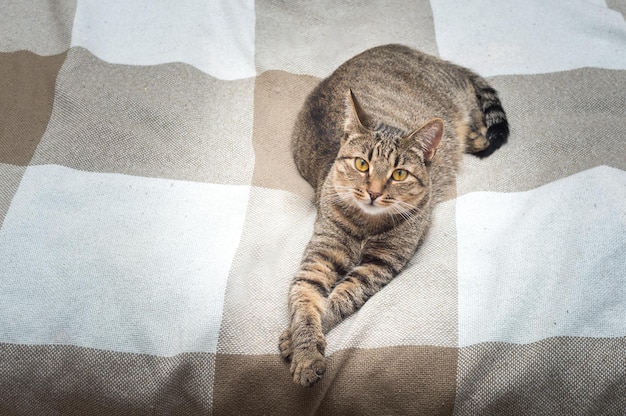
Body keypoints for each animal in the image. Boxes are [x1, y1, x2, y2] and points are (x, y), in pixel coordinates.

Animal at [278, 44, 508, 386]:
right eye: (362, 165)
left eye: (399, 174)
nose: (373, 191)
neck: (366, 223)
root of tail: (424, 54)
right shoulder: (321, 255)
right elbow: (305, 300)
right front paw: (304, 349)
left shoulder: (379, 265)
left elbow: (338, 301)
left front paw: (293, 342)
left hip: (460, 104)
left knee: (476, 115)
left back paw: (476, 136)